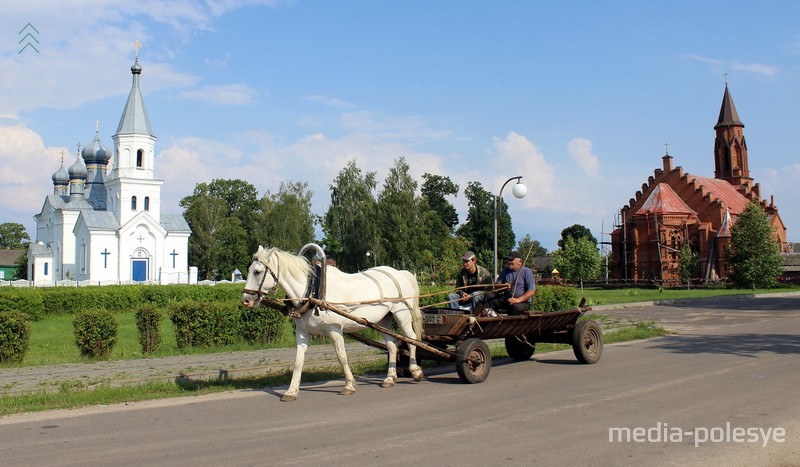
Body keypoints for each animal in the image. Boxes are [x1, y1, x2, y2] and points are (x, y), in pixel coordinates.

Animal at [241, 247, 424, 404]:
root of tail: (400, 272)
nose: (246, 300)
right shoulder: (302, 332)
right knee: (392, 345)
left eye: (257, 272)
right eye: (249, 270)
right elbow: (298, 362)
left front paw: (349, 385)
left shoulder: (335, 330)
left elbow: (341, 357)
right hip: (382, 320)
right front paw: (291, 391)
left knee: (411, 339)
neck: (313, 292)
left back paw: (415, 371)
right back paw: (390, 378)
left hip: (402, 316)